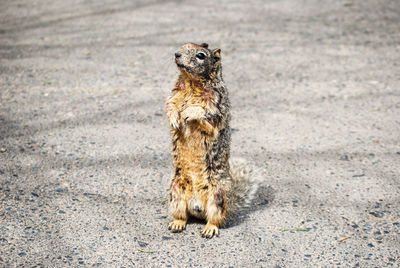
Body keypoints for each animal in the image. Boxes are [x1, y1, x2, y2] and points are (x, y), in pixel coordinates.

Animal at [164, 42, 260, 239]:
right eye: (182, 47)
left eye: (201, 55)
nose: (176, 54)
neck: (191, 82)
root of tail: (197, 207)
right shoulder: (174, 96)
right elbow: (170, 106)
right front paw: (175, 119)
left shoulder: (217, 106)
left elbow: (204, 115)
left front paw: (189, 112)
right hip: (176, 193)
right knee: (183, 215)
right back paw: (177, 223)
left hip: (217, 197)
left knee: (216, 219)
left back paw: (209, 228)